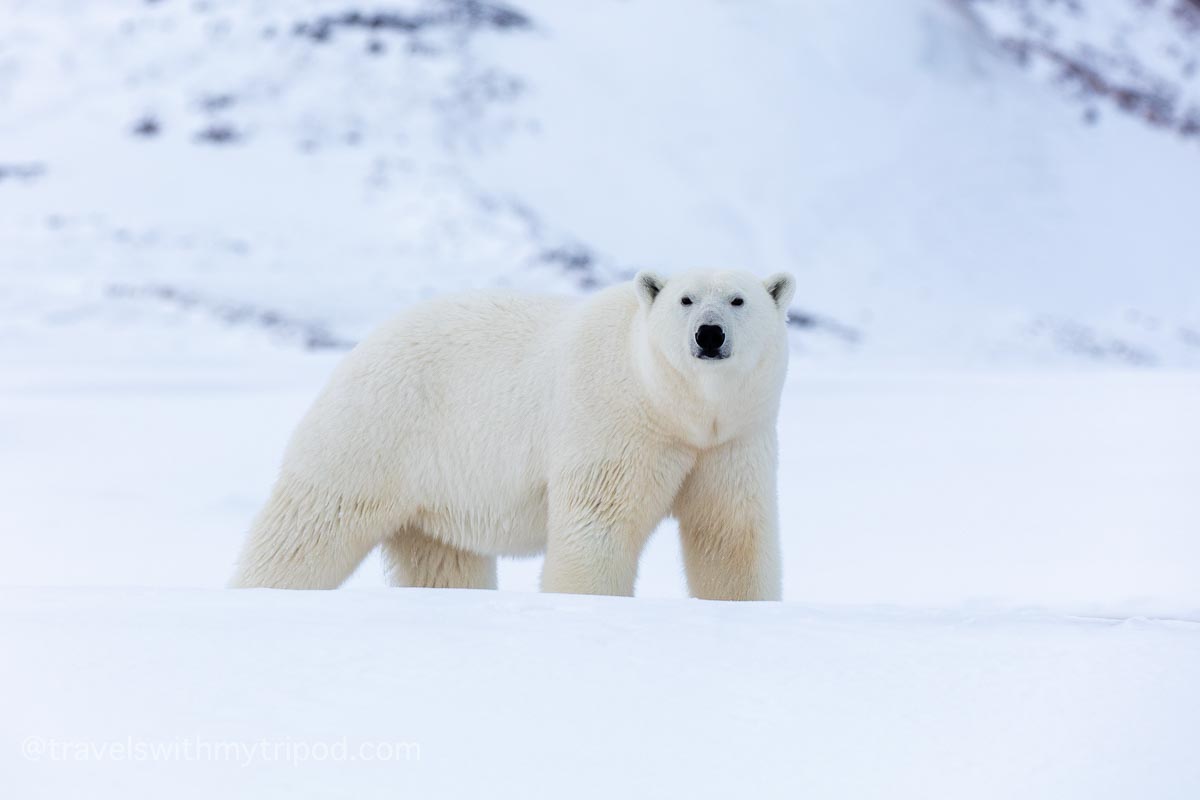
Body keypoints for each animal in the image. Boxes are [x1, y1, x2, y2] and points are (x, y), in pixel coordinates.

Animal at [234, 271, 796, 599]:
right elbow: (599, 525)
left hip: (436, 494)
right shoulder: (613, 422)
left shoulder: (732, 440)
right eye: (685, 299)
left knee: (444, 561)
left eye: (738, 300)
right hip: (377, 429)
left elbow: (730, 531)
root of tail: (364, 344)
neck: (674, 408)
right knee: (311, 525)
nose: (709, 333)